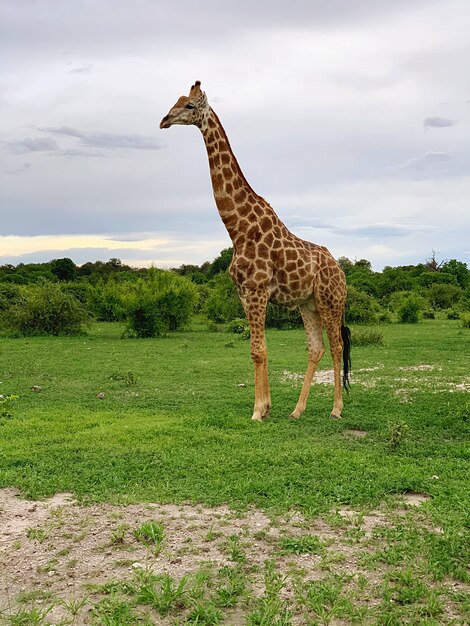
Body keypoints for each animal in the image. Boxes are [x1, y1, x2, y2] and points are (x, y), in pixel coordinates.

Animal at [160, 79, 350, 420]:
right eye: (176, 101)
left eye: (190, 106)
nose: (164, 120)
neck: (237, 229)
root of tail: (341, 271)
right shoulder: (244, 293)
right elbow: (256, 350)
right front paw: (267, 406)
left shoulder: (257, 290)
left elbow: (259, 350)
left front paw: (258, 410)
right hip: (308, 304)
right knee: (316, 348)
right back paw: (297, 410)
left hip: (331, 301)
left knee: (338, 346)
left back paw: (336, 409)